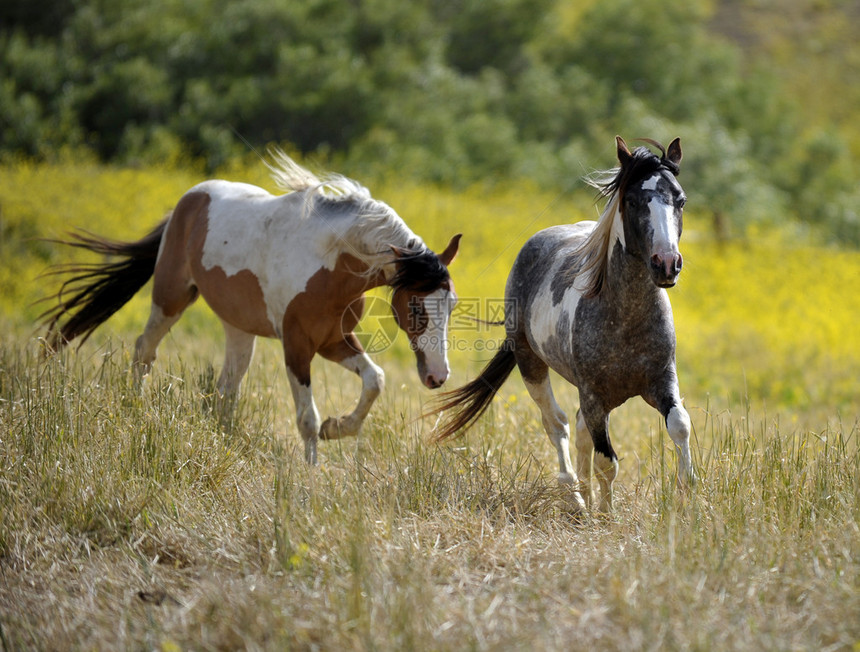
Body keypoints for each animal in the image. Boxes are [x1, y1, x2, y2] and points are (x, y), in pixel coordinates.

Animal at [41, 154, 460, 464]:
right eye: (416, 307)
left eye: (452, 304)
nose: (438, 376)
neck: (332, 261)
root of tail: (189, 201)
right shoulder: (297, 345)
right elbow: (307, 418)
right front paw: (312, 478)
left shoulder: (332, 340)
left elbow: (375, 380)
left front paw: (337, 428)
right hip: (171, 299)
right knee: (145, 349)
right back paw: (135, 407)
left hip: (239, 328)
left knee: (227, 387)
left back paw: (221, 442)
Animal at [436, 138, 692, 512]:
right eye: (632, 201)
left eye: (680, 199)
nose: (667, 264)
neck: (626, 320)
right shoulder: (594, 395)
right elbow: (606, 461)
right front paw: (605, 514)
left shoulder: (661, 381)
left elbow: (680, 425)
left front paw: (689, 495)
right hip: (532, 366)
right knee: (557, 424)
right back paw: (575, 497)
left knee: (580, 432)